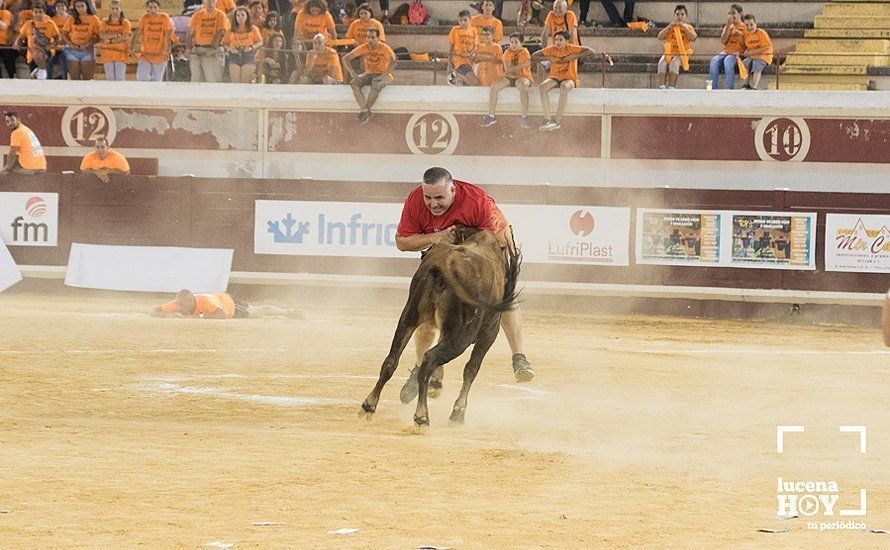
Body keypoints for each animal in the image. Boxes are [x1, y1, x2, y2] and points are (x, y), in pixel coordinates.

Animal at [360, 229, 520, 432]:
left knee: (391, 360)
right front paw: (458, 413)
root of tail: (442, 266)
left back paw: (369, 405)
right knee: (429, 359)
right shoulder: (489, 333)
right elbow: (471, 369)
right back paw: (422, 417)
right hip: (461, 335)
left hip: (408, 317)